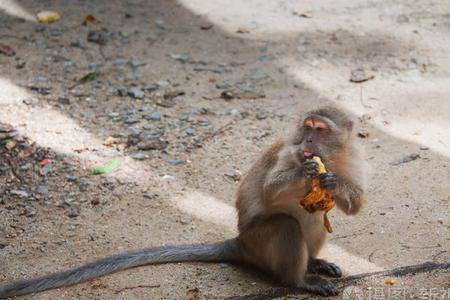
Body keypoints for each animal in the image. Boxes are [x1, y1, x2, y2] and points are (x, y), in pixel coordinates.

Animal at [0, 105, 366, 298]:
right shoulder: (288, 152)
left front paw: (333, 183)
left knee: (316, 216)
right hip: (259, 240)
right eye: (308, 127)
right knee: (286, 223)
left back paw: (313, 263)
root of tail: (240, 242)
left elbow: (355, 205)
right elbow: (269, 191)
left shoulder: (352, 158)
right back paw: (300, 280)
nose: (308, 142)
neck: (328, 158)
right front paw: (305, 172)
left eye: (321, 129)